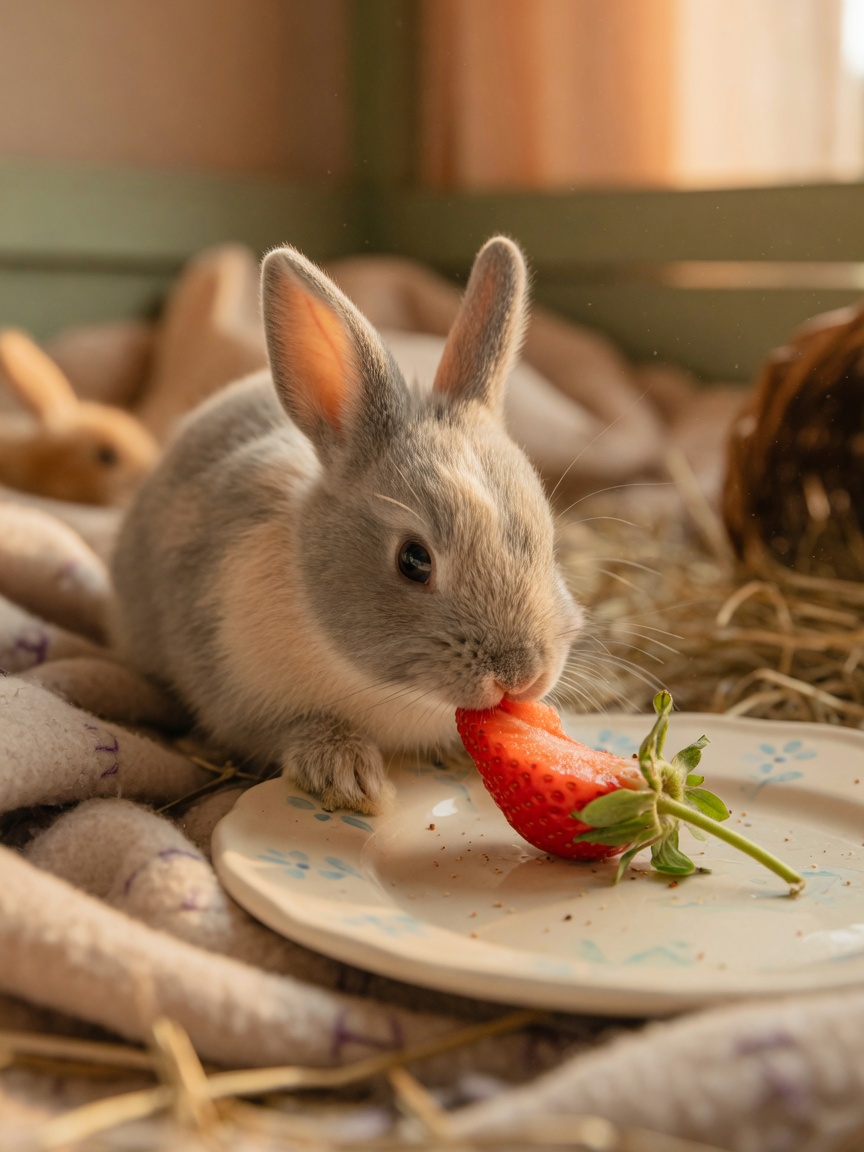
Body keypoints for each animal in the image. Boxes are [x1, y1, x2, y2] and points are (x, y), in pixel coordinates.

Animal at [110, 236, 583, 814]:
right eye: (413, 560)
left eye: (549, 544)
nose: (521, 676)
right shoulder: (233, 693)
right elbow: (291, 729)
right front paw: (347, 775)